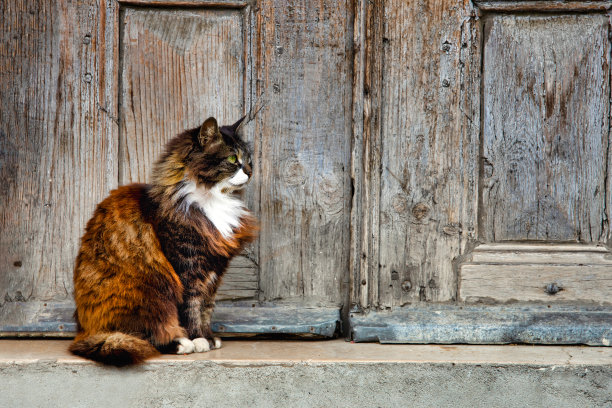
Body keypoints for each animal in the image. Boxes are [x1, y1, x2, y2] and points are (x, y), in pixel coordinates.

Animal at [69, 116, 258, 364]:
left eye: (249, 159)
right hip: (150, 293)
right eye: (233, 159)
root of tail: (84, 331)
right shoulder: (188, 270)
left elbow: (206, 309)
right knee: (143, 335)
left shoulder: (213, 273)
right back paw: (179, 343)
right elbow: (191, 309)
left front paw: (209, 337)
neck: (213, 199)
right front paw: (198, 339)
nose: (250, 171)